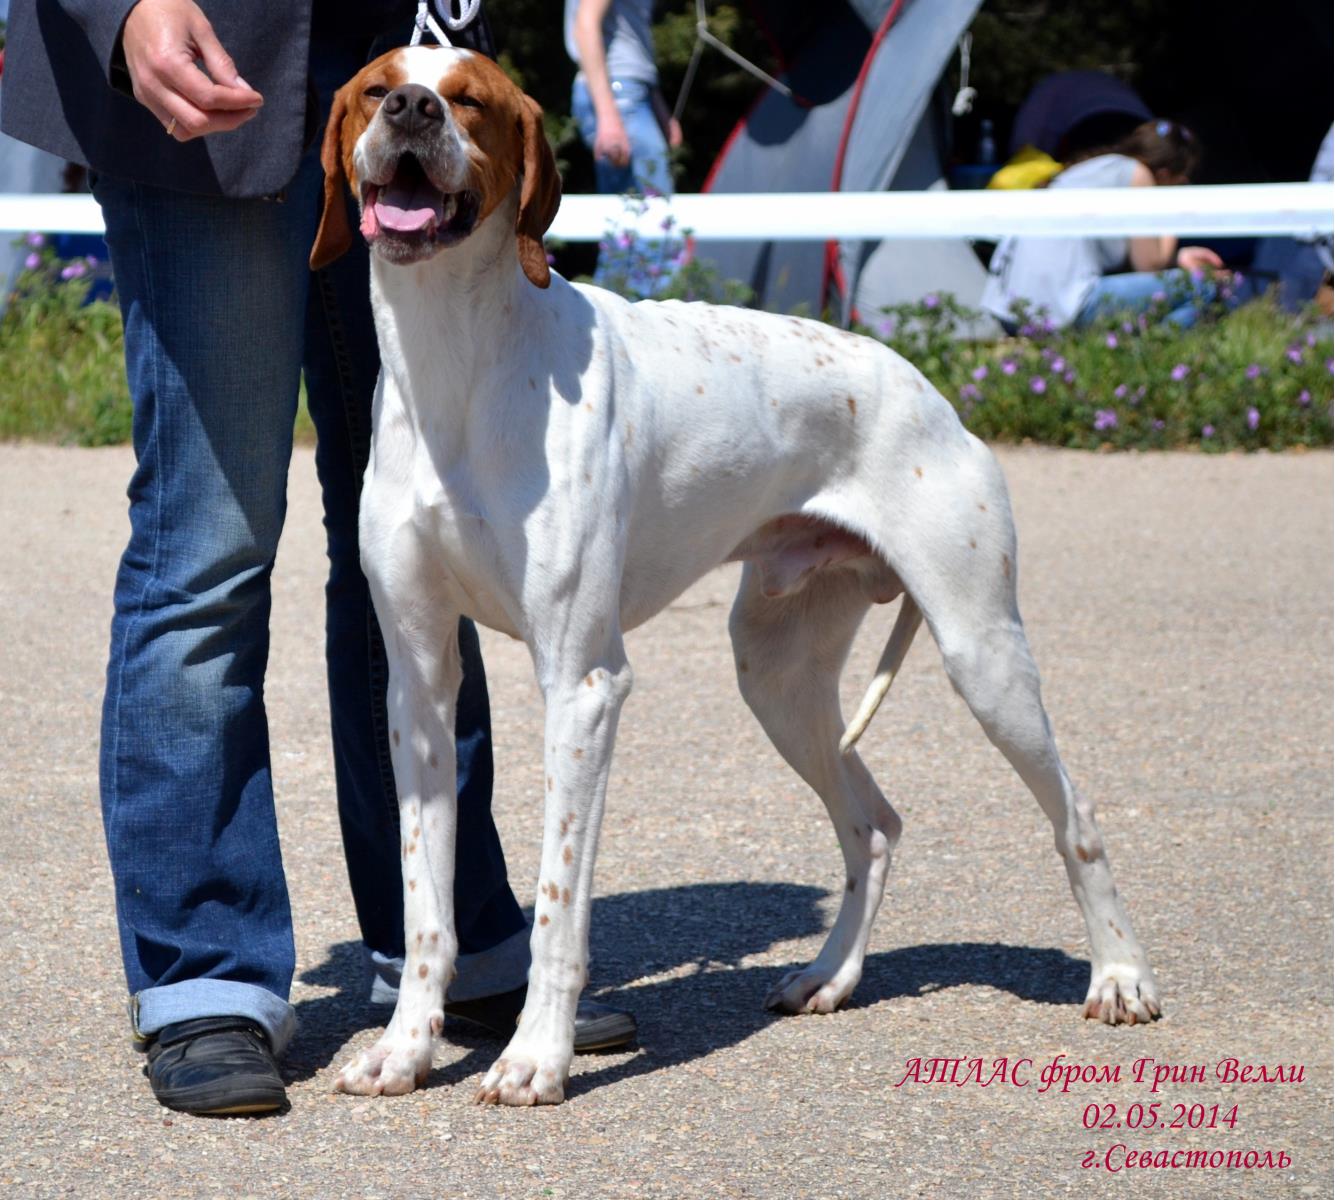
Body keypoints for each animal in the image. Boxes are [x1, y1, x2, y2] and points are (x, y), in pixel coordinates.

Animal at [309, 44, 1161, 1106]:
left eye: (467, 99)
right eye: (376, 86)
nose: (413, 110)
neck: (454, 368)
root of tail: (931, 391)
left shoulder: (583, 685)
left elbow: (556, 906)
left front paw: (536, 1057)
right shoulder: (419, 690)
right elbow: (427, 905)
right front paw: (405, 1047)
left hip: (982, 655)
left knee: (1073, 814)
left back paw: (1119, 976)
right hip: (777, 673)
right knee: (872, 824)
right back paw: (829, 976)